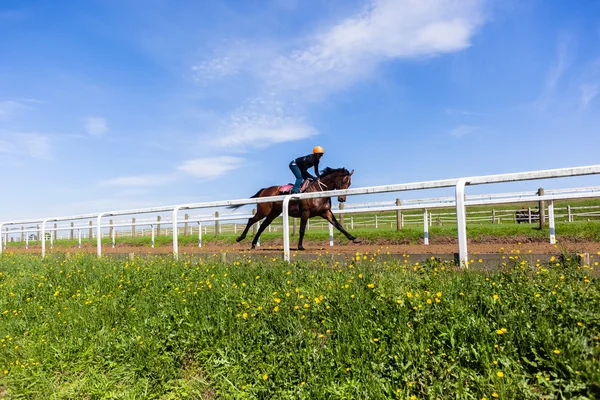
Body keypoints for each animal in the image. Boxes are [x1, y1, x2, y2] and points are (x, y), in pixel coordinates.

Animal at [230, 166, 360, 250]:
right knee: (251, 220)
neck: (318, 191)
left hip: (273, 213)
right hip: (263, 211)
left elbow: (339, 225)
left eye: (349, 183)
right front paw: (300, 246)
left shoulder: (326, 212)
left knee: (262, 226)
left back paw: (252, 244)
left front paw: (354, 238)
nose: (342, 199)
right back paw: (240, 238)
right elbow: (302, 230)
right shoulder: (305, 212)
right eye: (343, 181)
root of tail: (264, 190)